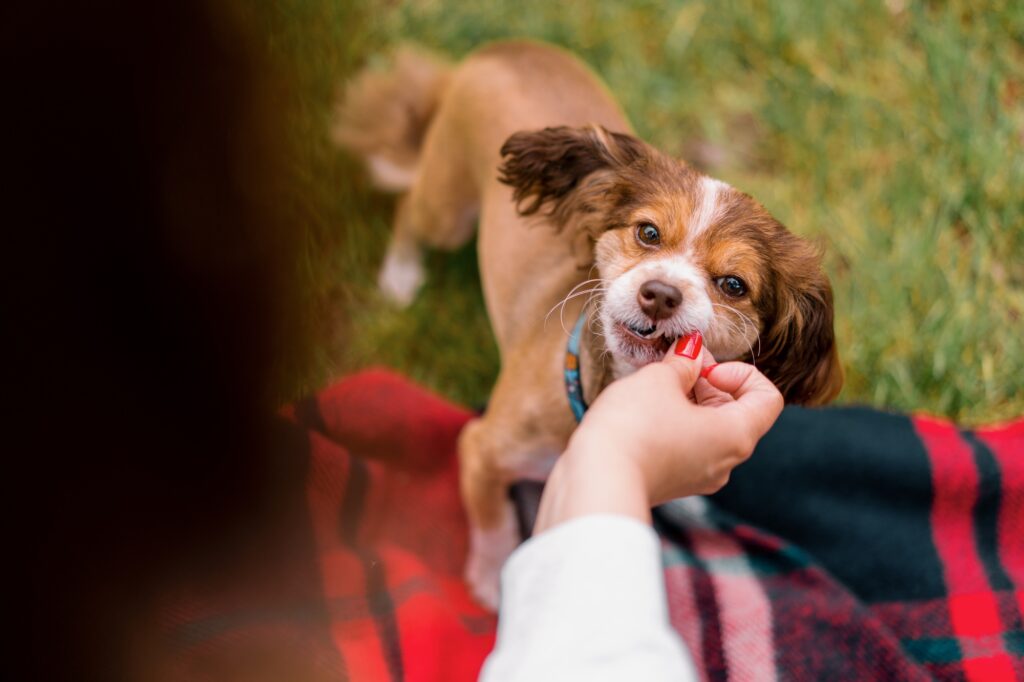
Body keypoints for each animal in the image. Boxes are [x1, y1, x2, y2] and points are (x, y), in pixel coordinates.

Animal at [335, 39, 839, 606]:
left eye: (733, 284)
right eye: (648, 232)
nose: (660, 294)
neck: (606, 391)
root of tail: (505, 47)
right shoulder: (480, 450)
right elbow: (493, 522)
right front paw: (490, 580)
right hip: (447, 209)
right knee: (408, 211)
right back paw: (400, 275)